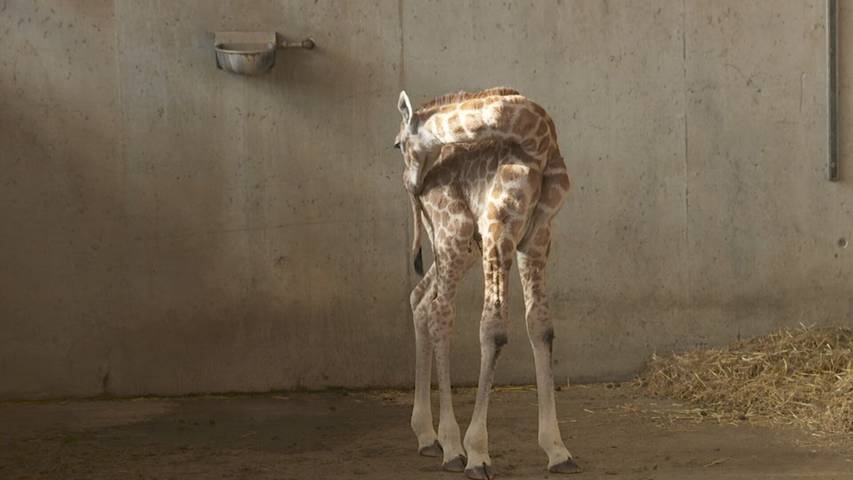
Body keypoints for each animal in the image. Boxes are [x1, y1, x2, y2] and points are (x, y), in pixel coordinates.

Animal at [394, 88, 580, 478]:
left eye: (397, 144)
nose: (412, 185)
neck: (535, 138)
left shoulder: (537, 238)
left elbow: (541, 327)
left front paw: (557, 450)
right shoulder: (499, 230)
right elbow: (493, 331)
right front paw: (477, 452)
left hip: (463, 245)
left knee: (422, 299)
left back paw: (427, 436)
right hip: (453, 233)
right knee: (440, 313)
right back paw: (451, 446)